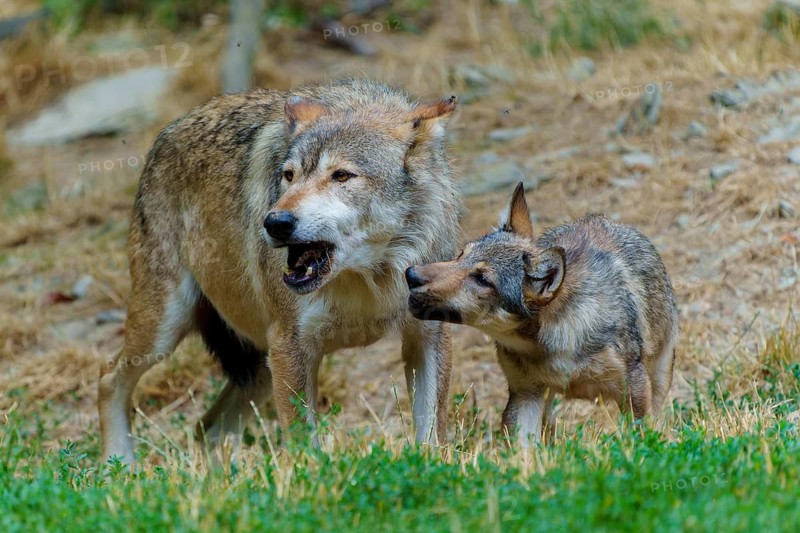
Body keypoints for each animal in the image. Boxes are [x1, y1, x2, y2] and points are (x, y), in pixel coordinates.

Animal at [98, 79, 460, 463]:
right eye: (289, 176)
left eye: (342, 176)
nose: (274, 222)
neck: (370, 278)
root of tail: (166, 132)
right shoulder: (290, 345)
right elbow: (304, 447)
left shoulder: (427, 335)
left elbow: (433, 436)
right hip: (166, 330)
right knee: (108, 378)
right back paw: (118, 465)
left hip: (256, 366)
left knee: (207, 428)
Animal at [405, 183, 678, 446]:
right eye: (461, 255)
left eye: (482, 279)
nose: (410, 275)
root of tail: (600, 218)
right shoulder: (525, 396)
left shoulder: (634, 391)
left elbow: (641, 436)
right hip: (544, 404)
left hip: (659, 377)